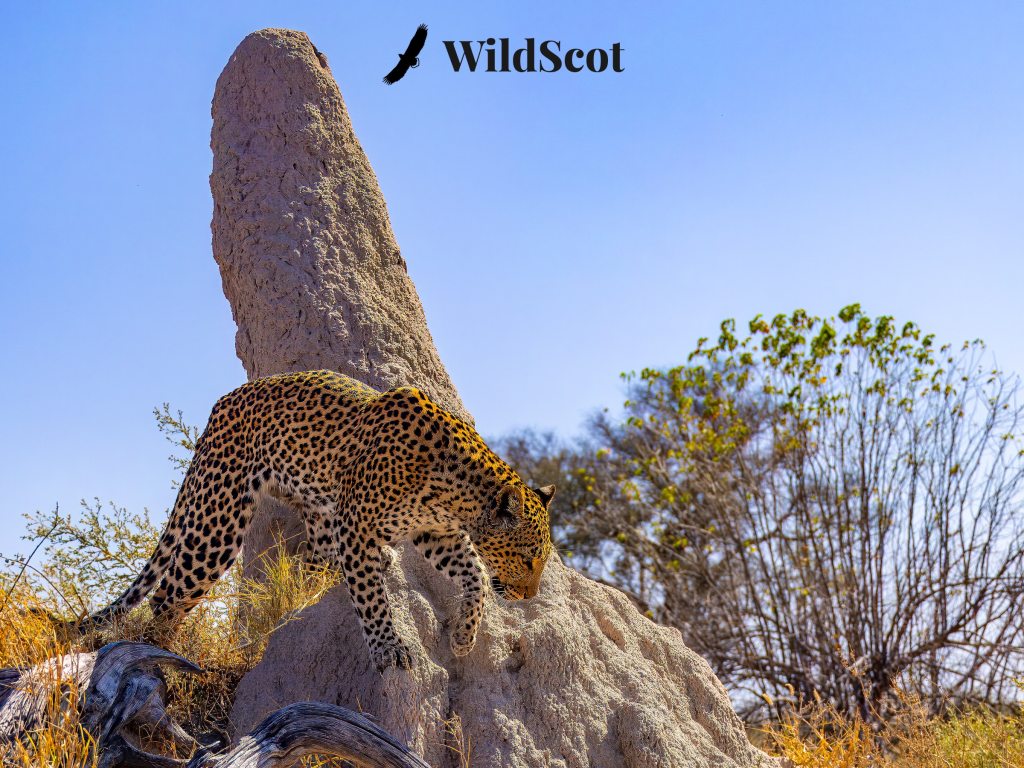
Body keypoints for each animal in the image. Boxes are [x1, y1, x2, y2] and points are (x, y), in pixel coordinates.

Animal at [85, 370, 555, 671]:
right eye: (528, 559)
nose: (529, 595)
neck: (459, 493)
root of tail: (220, 405)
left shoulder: (432, 532)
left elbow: (475, 575)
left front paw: (463, 637)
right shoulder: (360, 523)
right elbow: (371, 598)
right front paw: (388, 650)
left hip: (312, 500)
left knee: (320, 553)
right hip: (217, 522)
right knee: (167, 597)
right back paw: (164, 658)